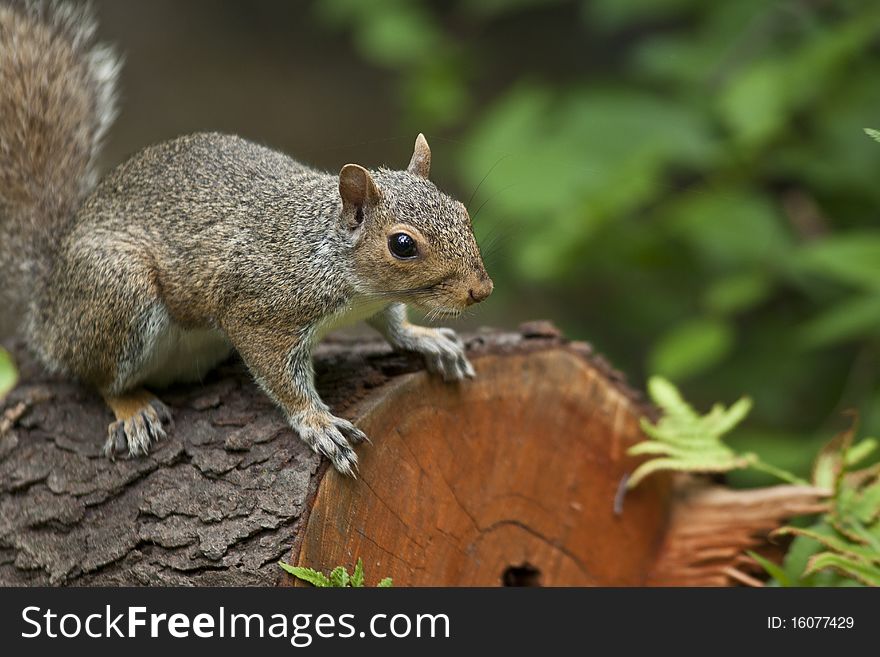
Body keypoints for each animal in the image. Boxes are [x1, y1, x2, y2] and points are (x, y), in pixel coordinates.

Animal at [0, 0, 492, 474]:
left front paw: (423, 337)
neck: (328, 253)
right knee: (94, 375)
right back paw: (132, 407)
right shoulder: (258, 312)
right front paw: (317, 422)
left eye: (462, 211)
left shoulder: (373, 301)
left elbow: (391, 322)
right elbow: (280, 376)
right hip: (118, 293)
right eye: (402, 245)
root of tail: (49, 291)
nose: (481, 290)